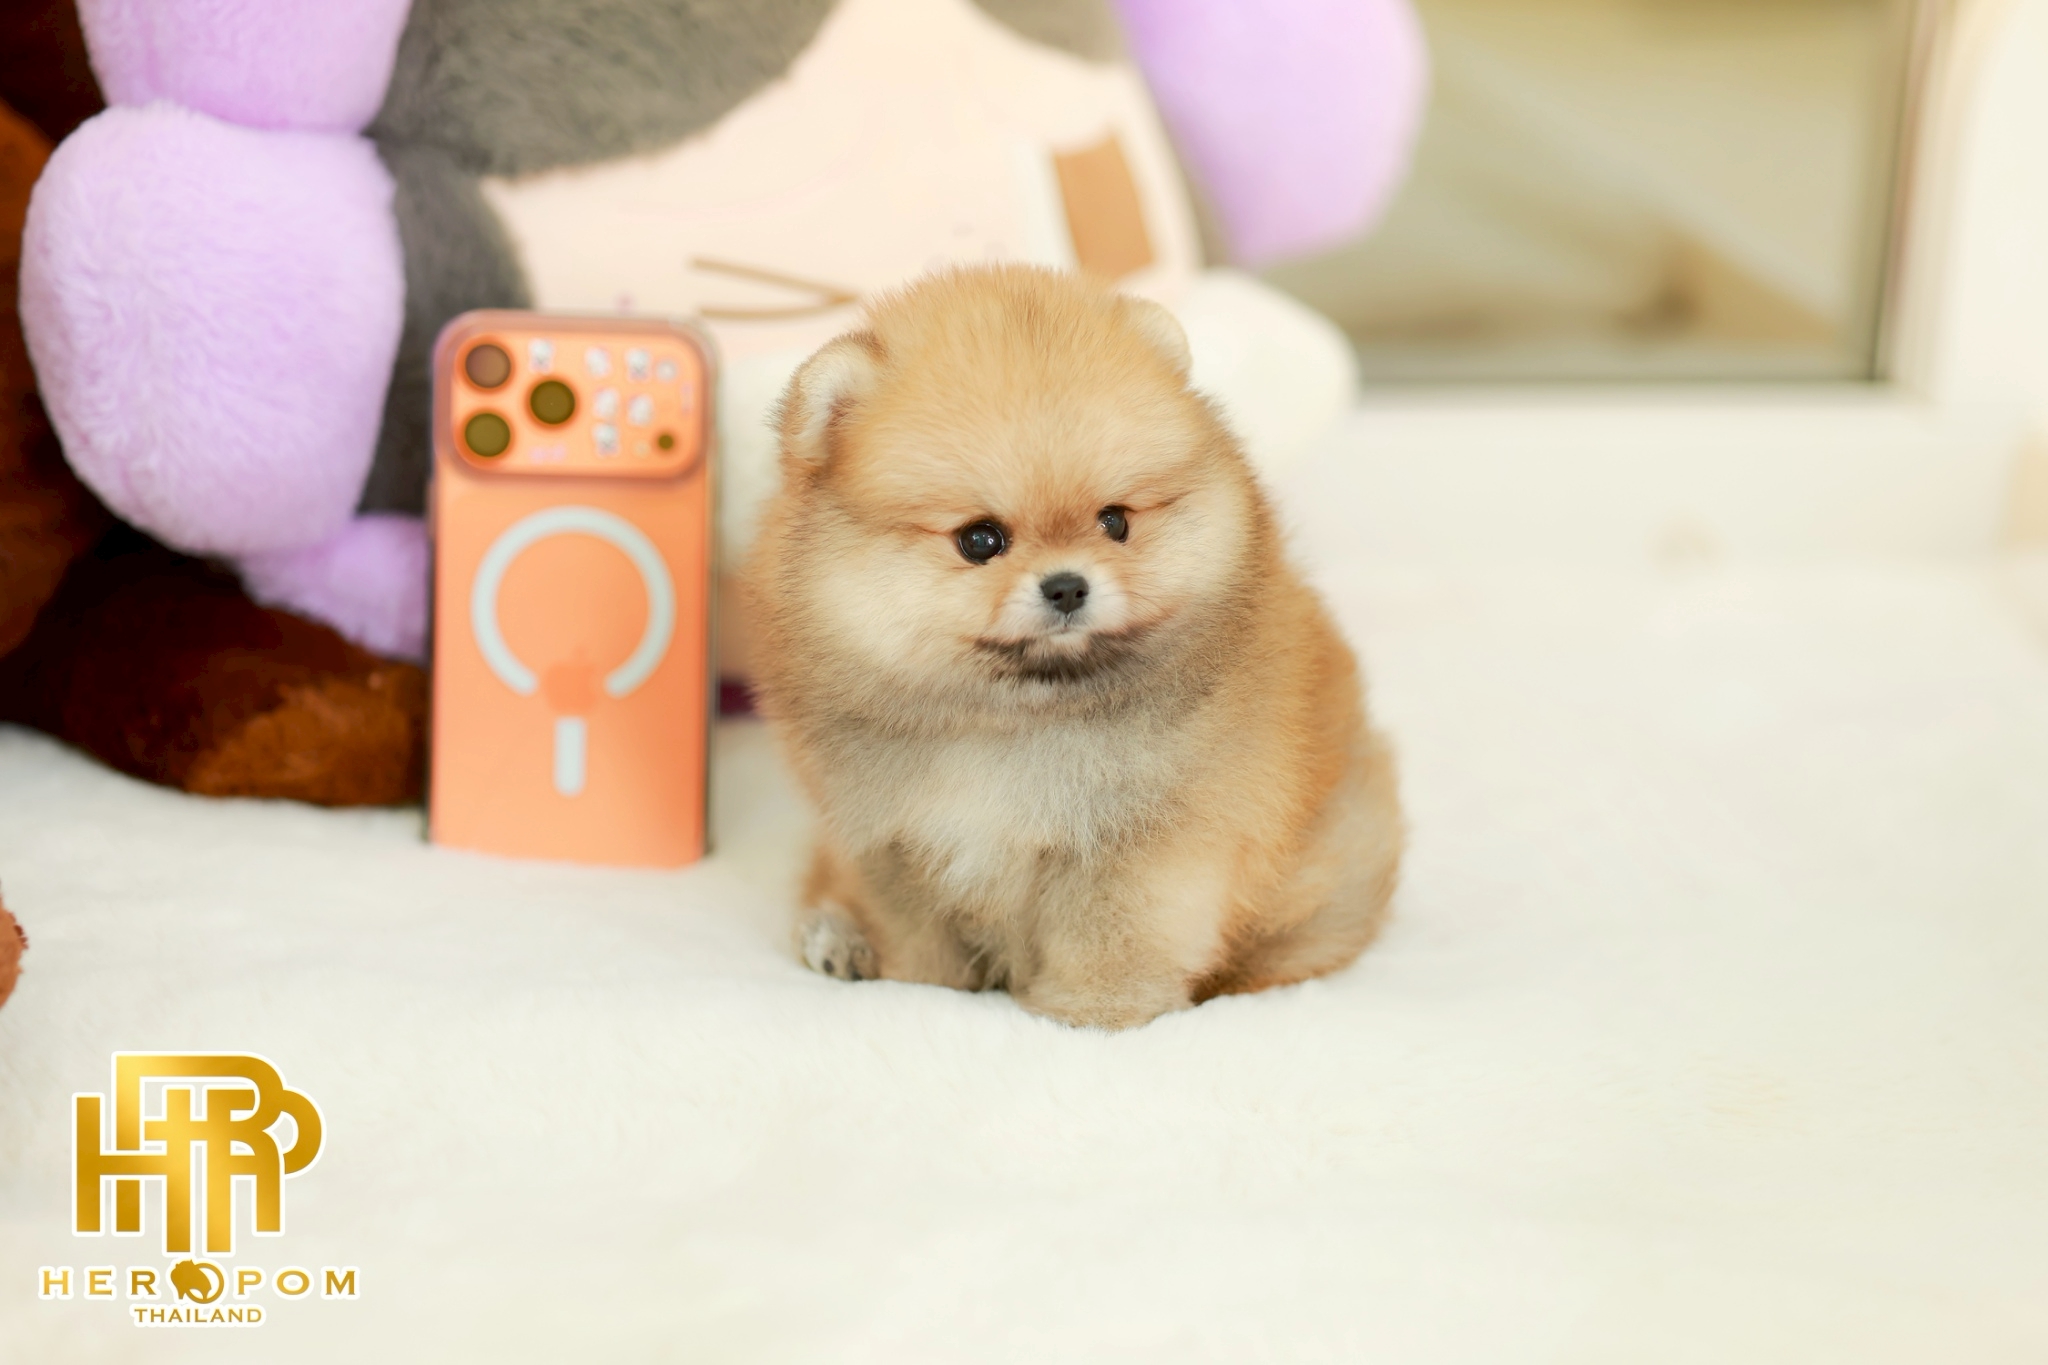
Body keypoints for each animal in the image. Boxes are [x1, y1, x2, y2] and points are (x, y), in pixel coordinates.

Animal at [745, 265, 1402, 1029]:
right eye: (980, 540)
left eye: (1115, 522)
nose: (1066, 586)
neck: (1006, 722)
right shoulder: (890, 842)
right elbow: (920, 941)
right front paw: (920, 991)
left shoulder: (1141, 840)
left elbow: (1112, 932)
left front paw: (1096, 1013)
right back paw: (836, 938)